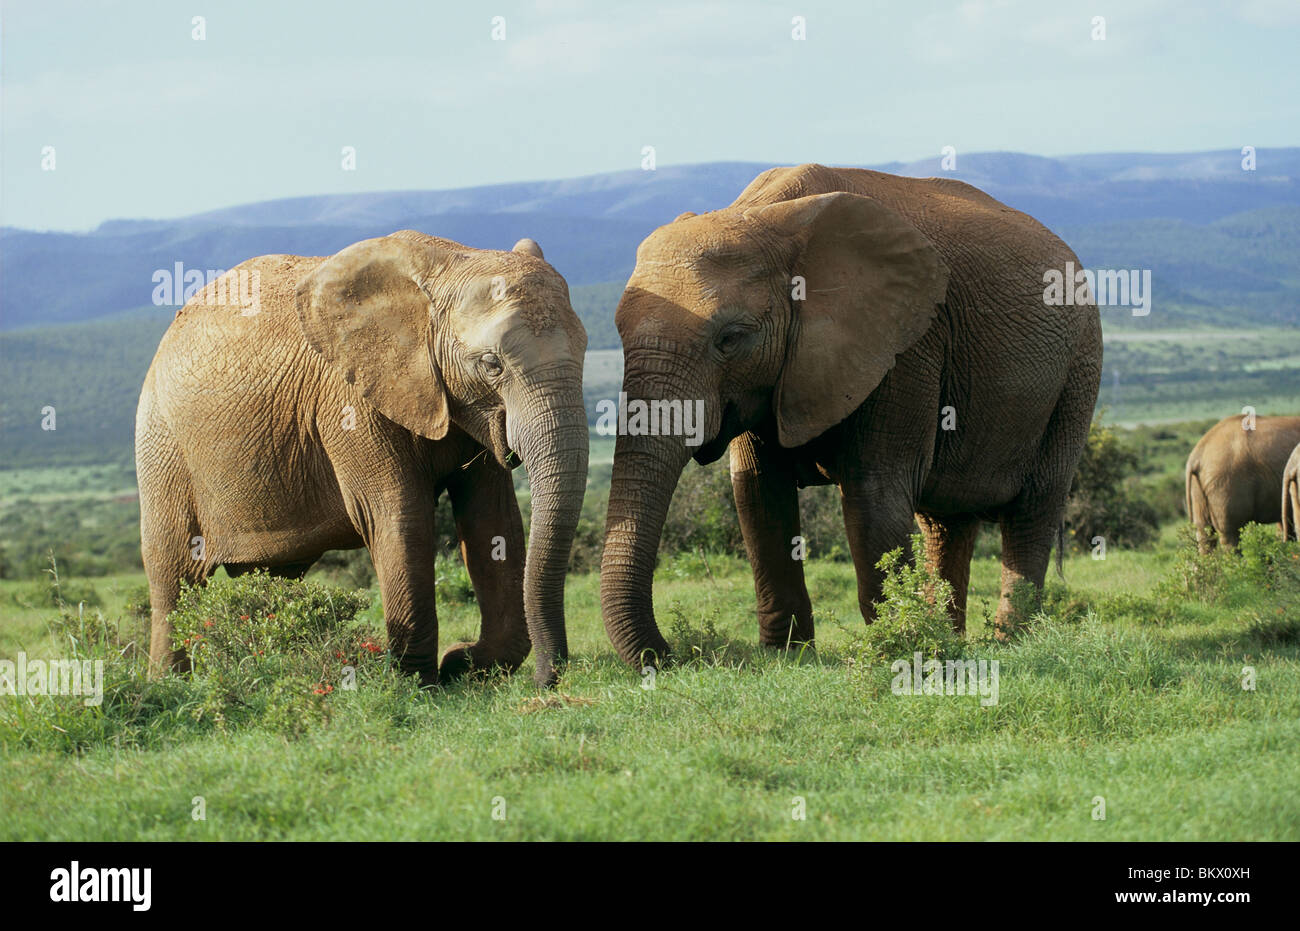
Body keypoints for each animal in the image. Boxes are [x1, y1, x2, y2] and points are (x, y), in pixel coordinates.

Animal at [135, 228, 590, 686]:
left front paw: (463, 666)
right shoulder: (348, 402)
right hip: (161, 442)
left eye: (586, 350)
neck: (449, 264)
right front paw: (420, 682)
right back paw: (169, 684)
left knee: (274, 576)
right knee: (174, 573)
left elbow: (492, 519)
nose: (546, 681)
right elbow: (397, 515)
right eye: (492, 364)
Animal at [595, 161, 1097, 670]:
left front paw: (895, 651)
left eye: (730, 338)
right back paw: (953, 641)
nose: (674, 655)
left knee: (1033, 510)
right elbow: (758, 495)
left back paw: (1010, 641)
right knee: (945, 523)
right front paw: (787, 659)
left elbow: (874, 495)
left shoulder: (905, 344)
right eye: (617, 330)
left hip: (1078, 372)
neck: (769, 217)